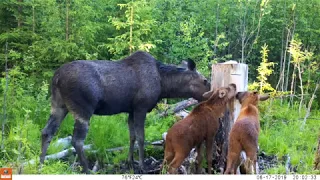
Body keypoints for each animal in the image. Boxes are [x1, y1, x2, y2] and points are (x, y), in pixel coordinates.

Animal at [39, 50, 210, 173]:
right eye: (205, 80)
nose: (211, 94)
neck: (164, 85)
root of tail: (56, 78)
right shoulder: (141, 108)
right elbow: (141, 137)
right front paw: (141, 165)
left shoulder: (131, 110)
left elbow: (131, 136)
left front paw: (130, 162)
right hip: (83, 109)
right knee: (77, 140)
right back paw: (88, 170)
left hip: (58, 106)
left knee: (47, 132)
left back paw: (40, 165)